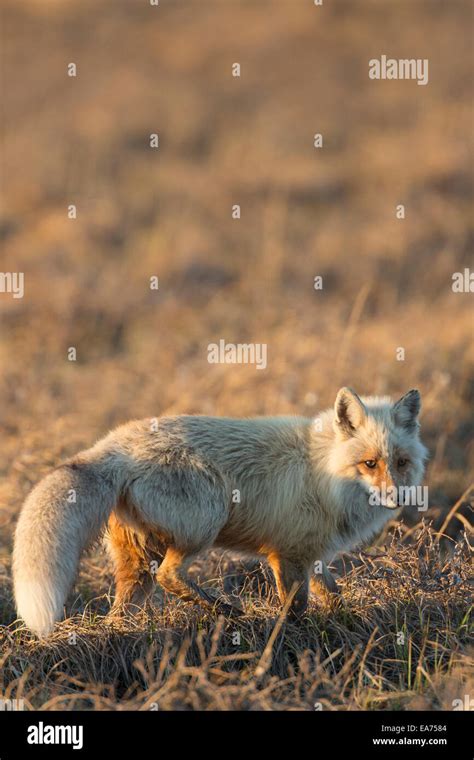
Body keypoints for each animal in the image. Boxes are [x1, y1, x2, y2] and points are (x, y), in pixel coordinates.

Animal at [11, 386, 428, 636]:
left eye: (401, 462)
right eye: (370, 464)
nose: (395, 498)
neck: (322, 473)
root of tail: (112, 445)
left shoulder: (314, 555)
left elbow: (334, 595)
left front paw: (348, 621)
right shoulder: (287, 554)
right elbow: (295, 608)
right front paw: (295, 636)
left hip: (137, 564)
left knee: (123, 608)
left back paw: (126, 632)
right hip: (205, 522)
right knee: (169, 575)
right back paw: (225, 611)